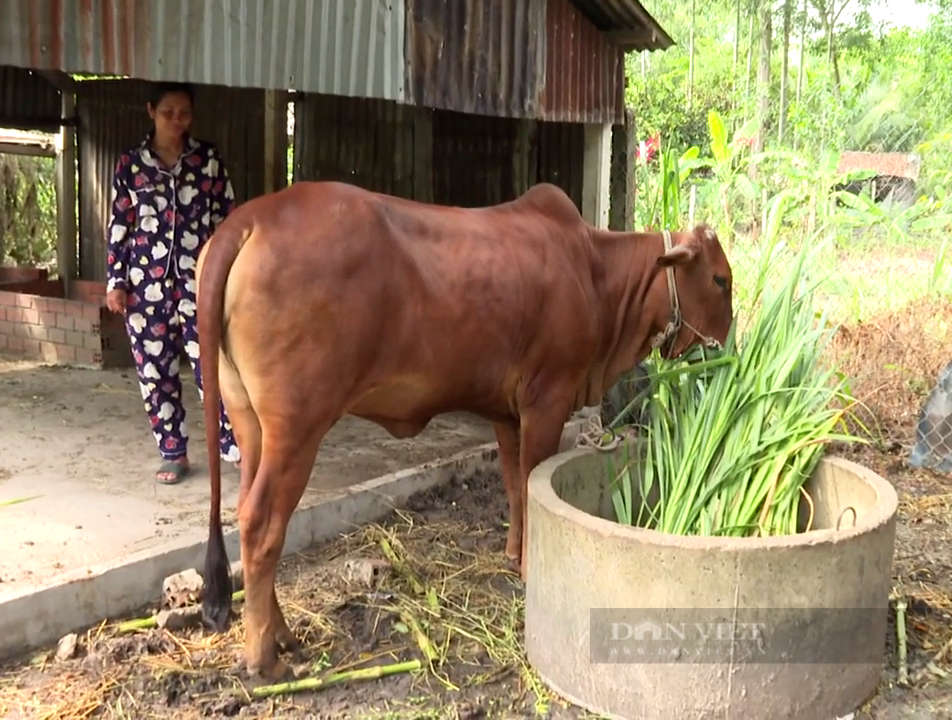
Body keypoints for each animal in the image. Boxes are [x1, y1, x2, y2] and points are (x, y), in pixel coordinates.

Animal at [197, 180, 736, 680]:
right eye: (720, 279)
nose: (728, 347)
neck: (595, 272)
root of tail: (249, 220)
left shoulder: (507, 412)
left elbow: (515, 487)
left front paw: (515, 553)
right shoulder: (547, 398)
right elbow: (530, 483)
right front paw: (529, 565)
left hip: (249, 422)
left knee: (246, 513)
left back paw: (282, 635)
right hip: (298, 427)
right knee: (263, 523)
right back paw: (265, 658)